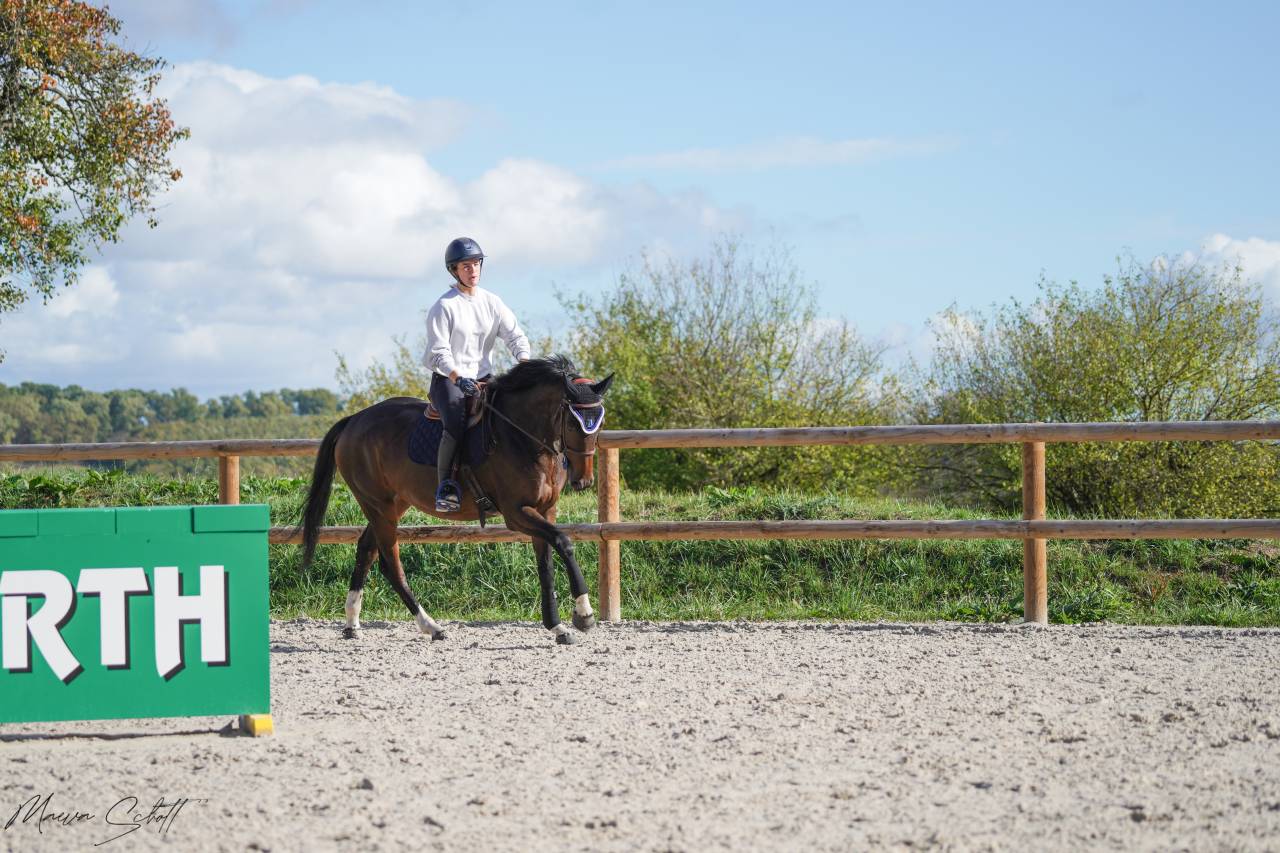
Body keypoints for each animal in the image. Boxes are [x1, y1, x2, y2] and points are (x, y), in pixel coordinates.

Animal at [298, 355, 614, 645]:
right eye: (572, 423)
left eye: (598, 423)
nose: (583, 480)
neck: (521, 437)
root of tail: (354, 420)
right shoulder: (517, 513)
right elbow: (564, 542)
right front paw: (584, 615)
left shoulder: (545, 510)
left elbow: (546, 563)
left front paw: (558, 627)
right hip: (378, 506)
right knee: (390, 564)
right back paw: (431, 626)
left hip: (393, 504)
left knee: (366, 550)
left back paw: (352, 624)